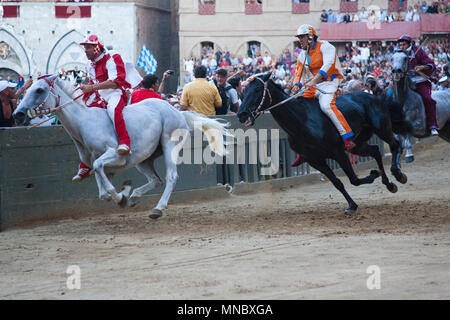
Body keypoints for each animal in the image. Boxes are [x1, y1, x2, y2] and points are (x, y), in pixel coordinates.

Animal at [14, 75, 232, 219]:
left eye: (39, 90)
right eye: (26, 89)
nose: (18, 114)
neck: (84, 124)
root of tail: (177, 110)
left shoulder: (115, 156)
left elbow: (101, 173)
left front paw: (121, 197)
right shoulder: (103, 165)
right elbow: (101, 189)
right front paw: (125, 193)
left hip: (169, 145)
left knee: (170, 177)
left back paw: (157, 209)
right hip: (144, 160)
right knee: (156, 180)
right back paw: (134, 197)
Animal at [237, 72, 410, 215]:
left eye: (257, 89)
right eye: (243, 92)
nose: (241, 114)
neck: (303, 120)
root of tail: (376, 97)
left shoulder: (338, 152)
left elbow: (353, 179)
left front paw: (373, 174)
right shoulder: (314, 160)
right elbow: (337, 182)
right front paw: (352, 205)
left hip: (381, 128)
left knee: (395, 144)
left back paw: (398, 174)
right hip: (357, 144)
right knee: (375, 150)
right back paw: (389, 183)